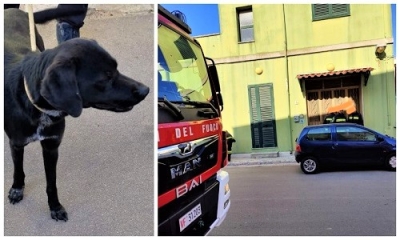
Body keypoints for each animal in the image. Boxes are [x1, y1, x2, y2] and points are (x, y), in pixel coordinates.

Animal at [4, 7, 150, 221]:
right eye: (105, 77)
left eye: (116, 68)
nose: (146, 90)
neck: (38, 109)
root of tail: (12, 8)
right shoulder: (16, 144)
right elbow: (18, 170)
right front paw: (17, 189)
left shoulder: (51, 147)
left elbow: (51, 183)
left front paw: (55, 207)